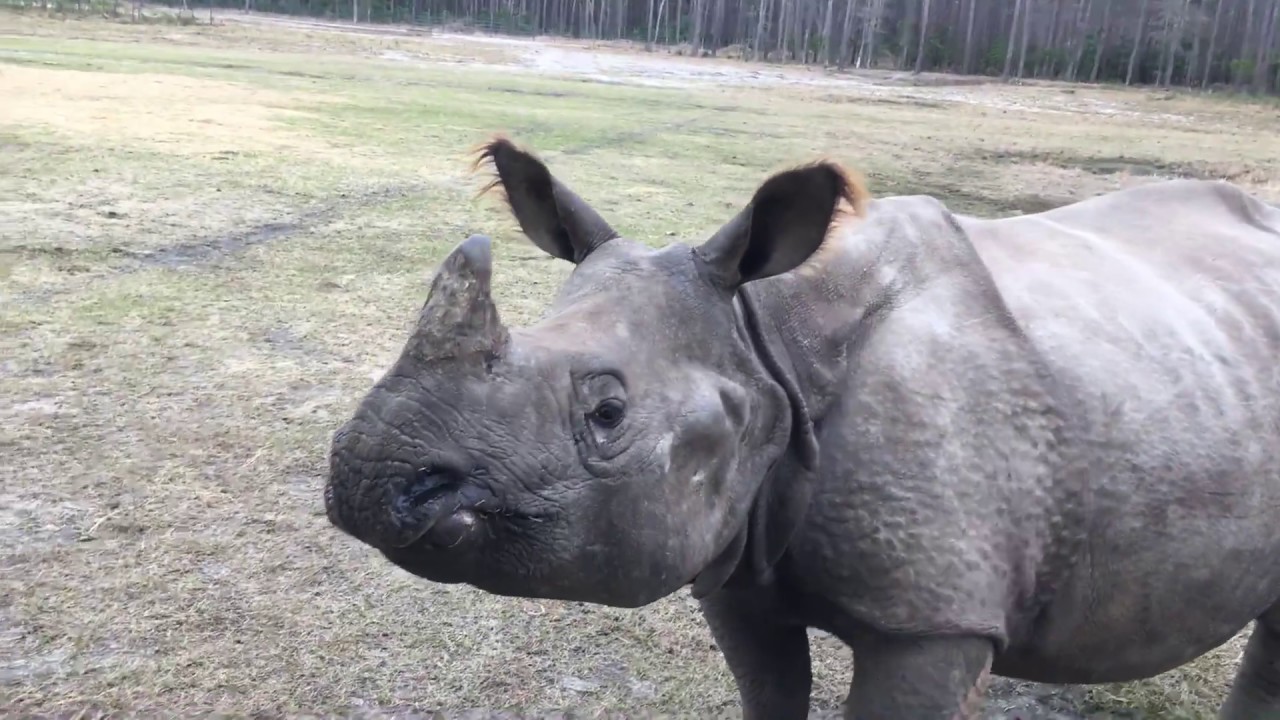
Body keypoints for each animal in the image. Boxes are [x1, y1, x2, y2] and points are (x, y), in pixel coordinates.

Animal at [324, 136, 1280, 719]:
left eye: (607, 413)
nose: (371, 478)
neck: (766, 342)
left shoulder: (936, 617)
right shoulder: (734, 557)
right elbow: (770, 691)